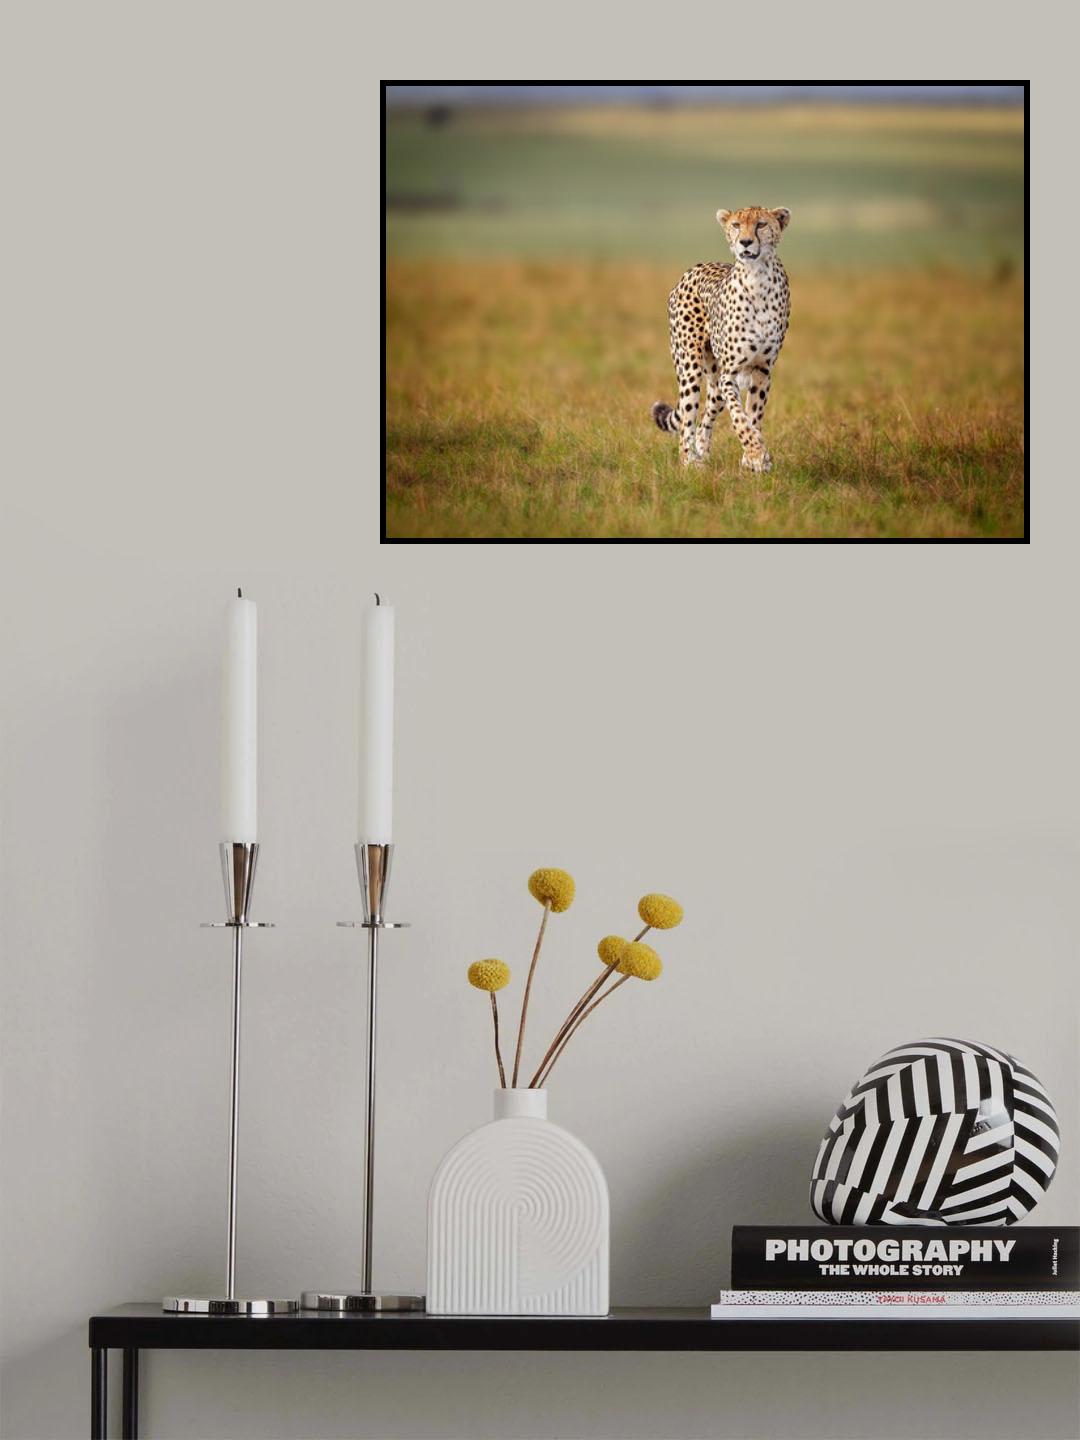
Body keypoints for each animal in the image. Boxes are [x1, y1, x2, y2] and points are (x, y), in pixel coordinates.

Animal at [652, 206, 791, 471]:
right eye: (736, 225)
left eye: (761, 224)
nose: (745, 242)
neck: (757, 277)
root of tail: (694, 268)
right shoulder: (731, 373)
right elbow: (739, 418)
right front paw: (756, 454)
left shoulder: (763, 370)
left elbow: (753, 415)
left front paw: (751, 459)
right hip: (690, 367)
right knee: (687, 421)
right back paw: (689, 463)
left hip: (715, 382)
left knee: (705, 419)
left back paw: (702, 452)